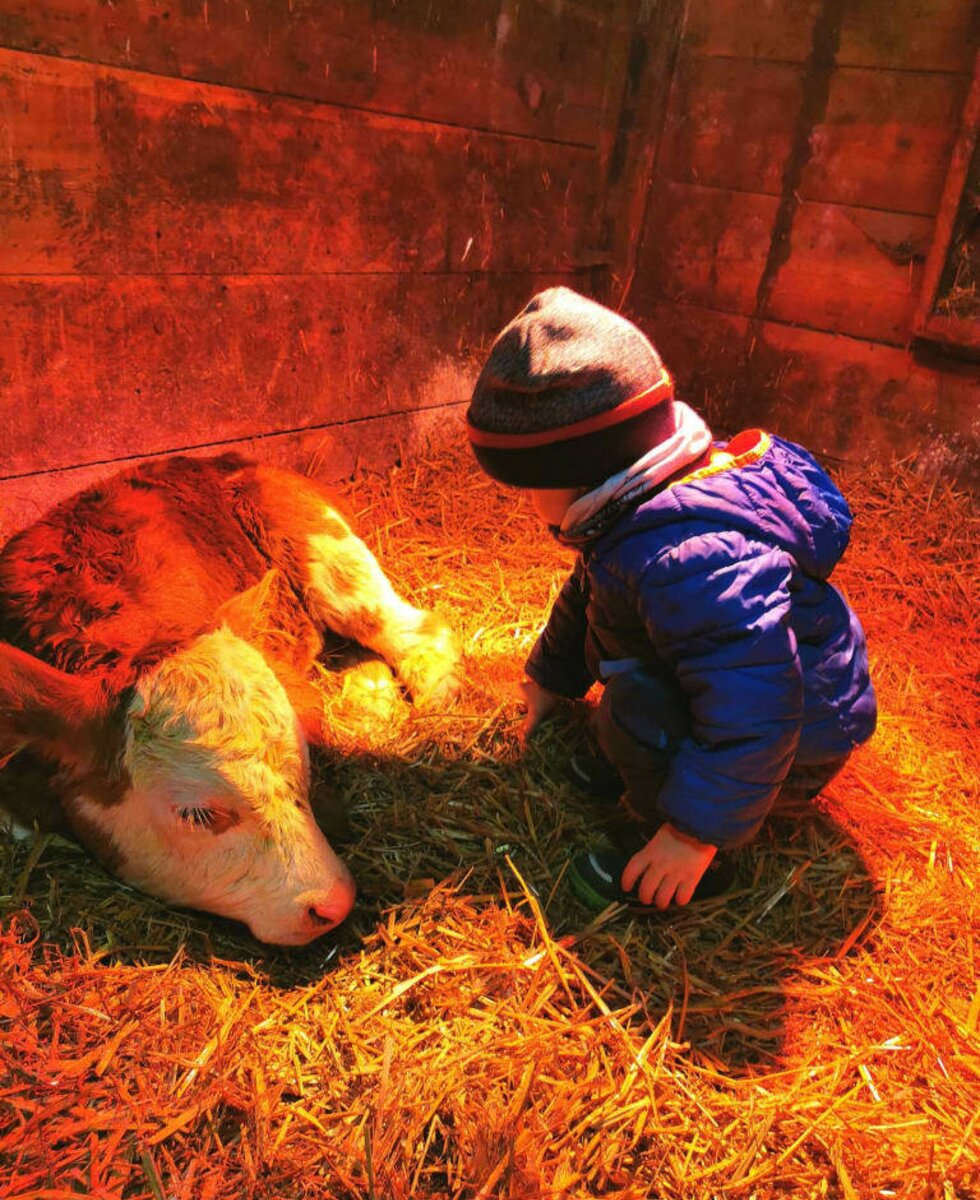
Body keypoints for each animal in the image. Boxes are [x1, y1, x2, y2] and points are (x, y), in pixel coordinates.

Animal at [0, 453, 458, 940]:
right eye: (197, 814)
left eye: (303, 769)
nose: (334, 903)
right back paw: (373, 703)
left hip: (329, 556)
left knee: (416, 630)